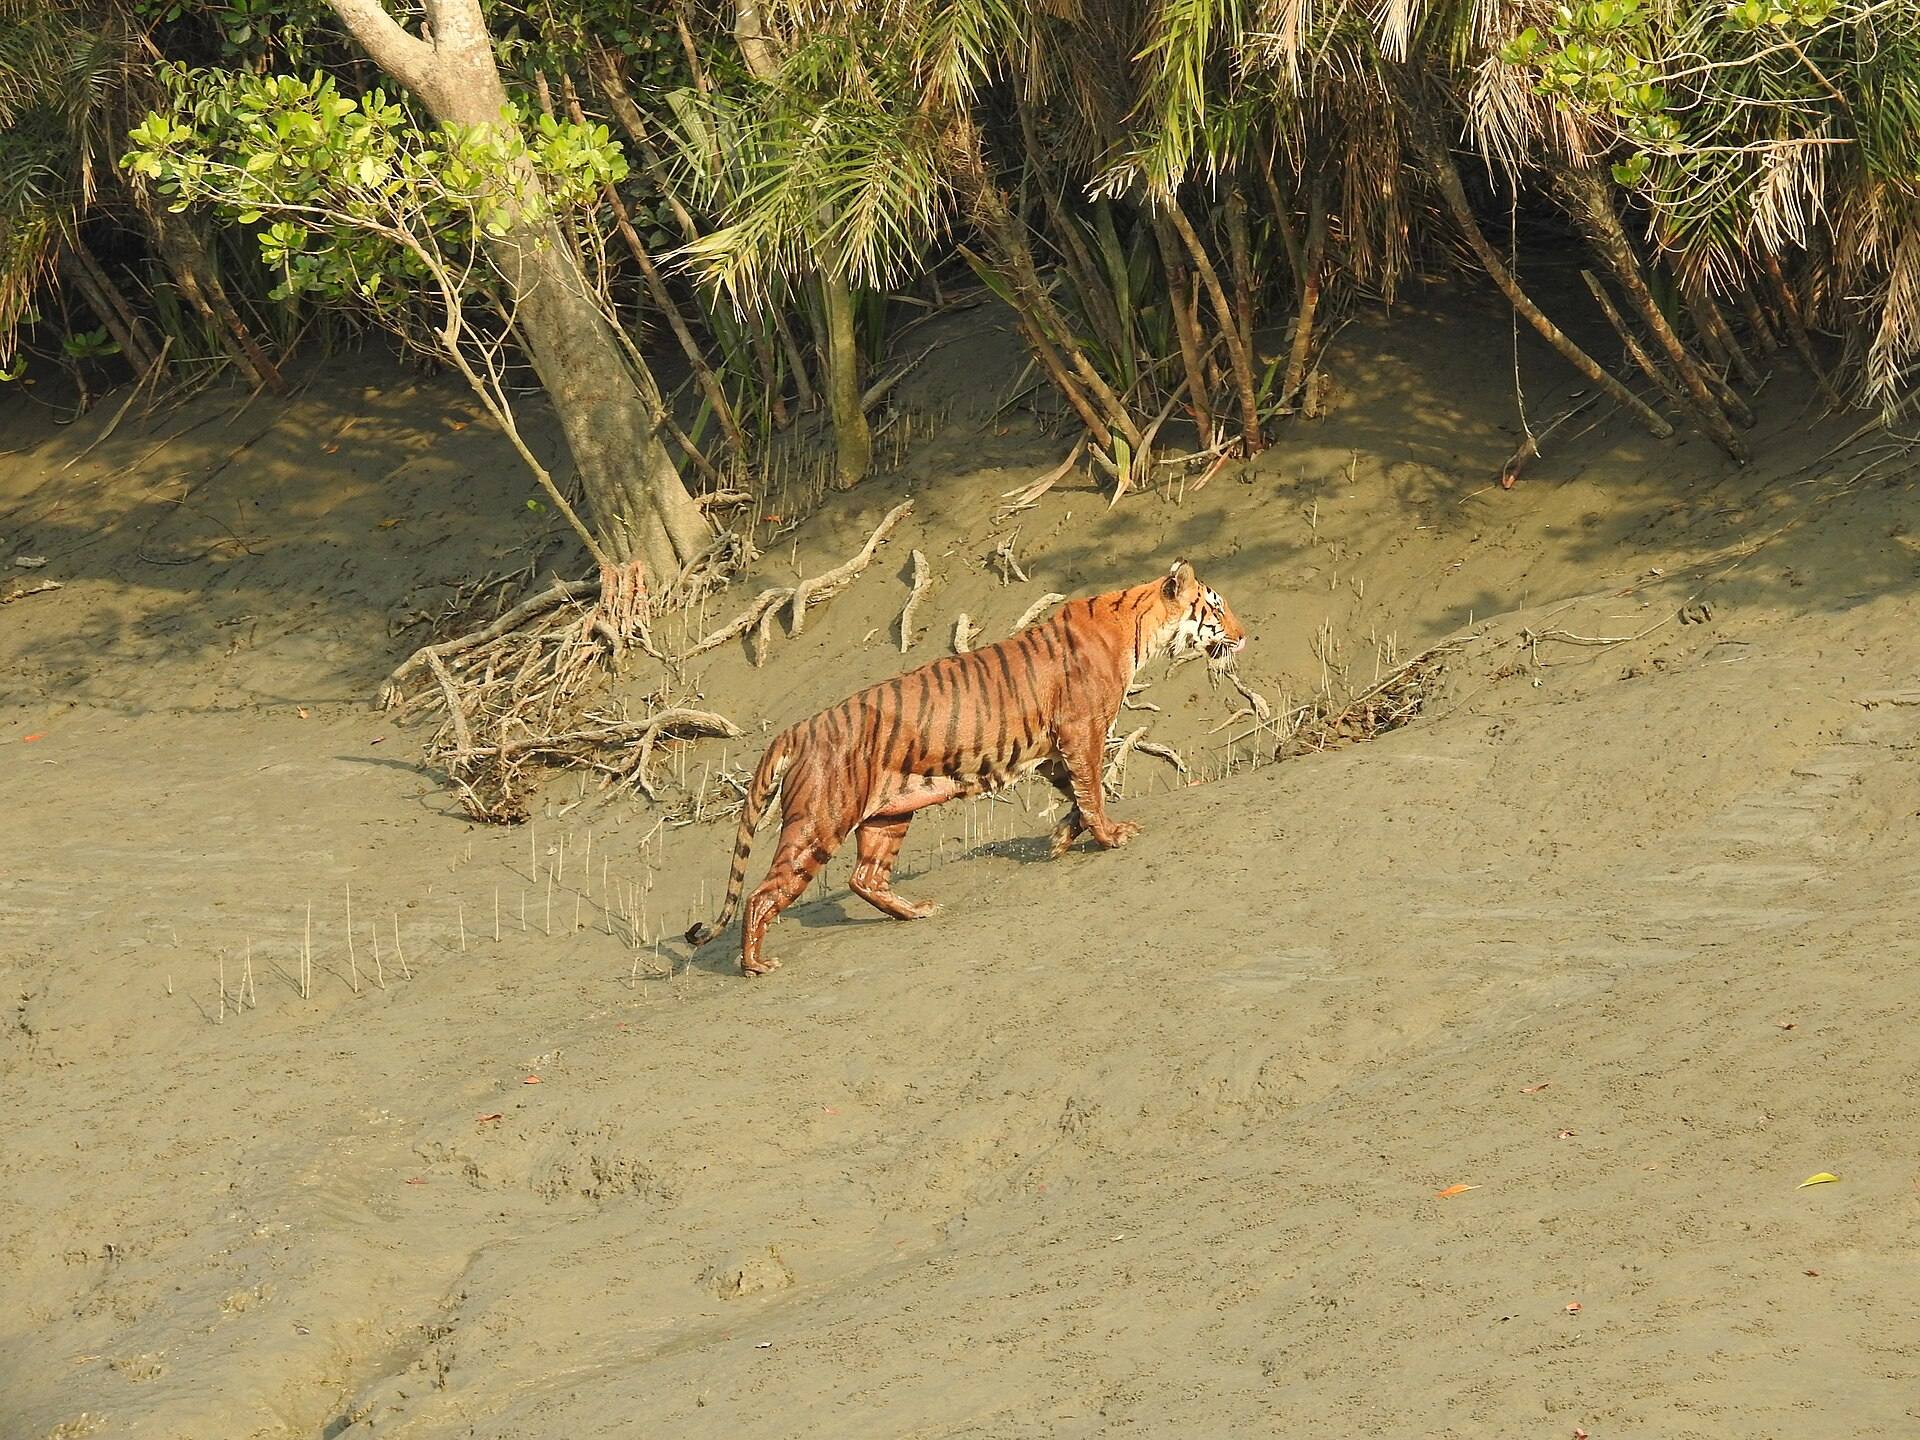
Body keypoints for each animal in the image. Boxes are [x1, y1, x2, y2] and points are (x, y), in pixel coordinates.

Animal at [685, 559, 1247, 976]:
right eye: (1216, 608)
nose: (1244, 636)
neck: (1139, 628)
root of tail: (799, 726)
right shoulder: (1081, 732)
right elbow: (1093, 790)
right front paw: (1111, 836)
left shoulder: (1053, 751)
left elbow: (1076, 796)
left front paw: (1061, 840)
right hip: (820, 823)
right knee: (763, 893)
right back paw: (756, 965)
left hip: (889, 816)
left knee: (864, 878)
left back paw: (915, 912)